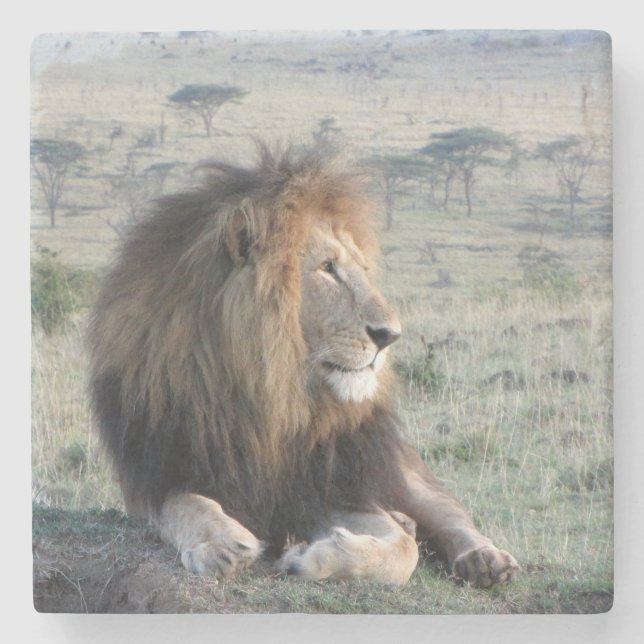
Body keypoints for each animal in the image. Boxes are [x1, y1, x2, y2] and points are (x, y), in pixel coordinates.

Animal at [89, 144, 518, 587]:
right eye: (327, 268)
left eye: (363, 270)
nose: (390, 335)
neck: (268, 392)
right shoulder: (156, 474)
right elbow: (187, 506)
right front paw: (222, 544)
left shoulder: (326, 486)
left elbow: (403, 552)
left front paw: (310, 558)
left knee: (447, 511)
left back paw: (485, 559)